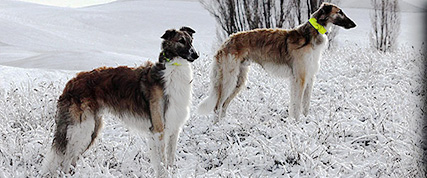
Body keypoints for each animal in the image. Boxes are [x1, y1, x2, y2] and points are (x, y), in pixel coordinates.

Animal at [41, 26, 199, 177]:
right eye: (181, 41)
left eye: (191, 40)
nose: (196, 55)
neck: (173, 70)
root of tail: (70, 83)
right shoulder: (158, 129)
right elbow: (162, 164)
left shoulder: (174, 129)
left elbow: (170, 161)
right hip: (82, 129)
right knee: (66, 161)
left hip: (92, 130)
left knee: (71, 160)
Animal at [199, 2, 356, 119]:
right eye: (340, 12)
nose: (354, 24)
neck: (310, 36)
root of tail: (225, 43)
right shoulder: (300, 78)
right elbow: (297, 105)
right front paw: (297, 124)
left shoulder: (309, 77)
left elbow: (304, 105)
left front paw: (305, 123)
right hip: (229, 79)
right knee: (217, 106)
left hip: (239, 80)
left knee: (224, 106)